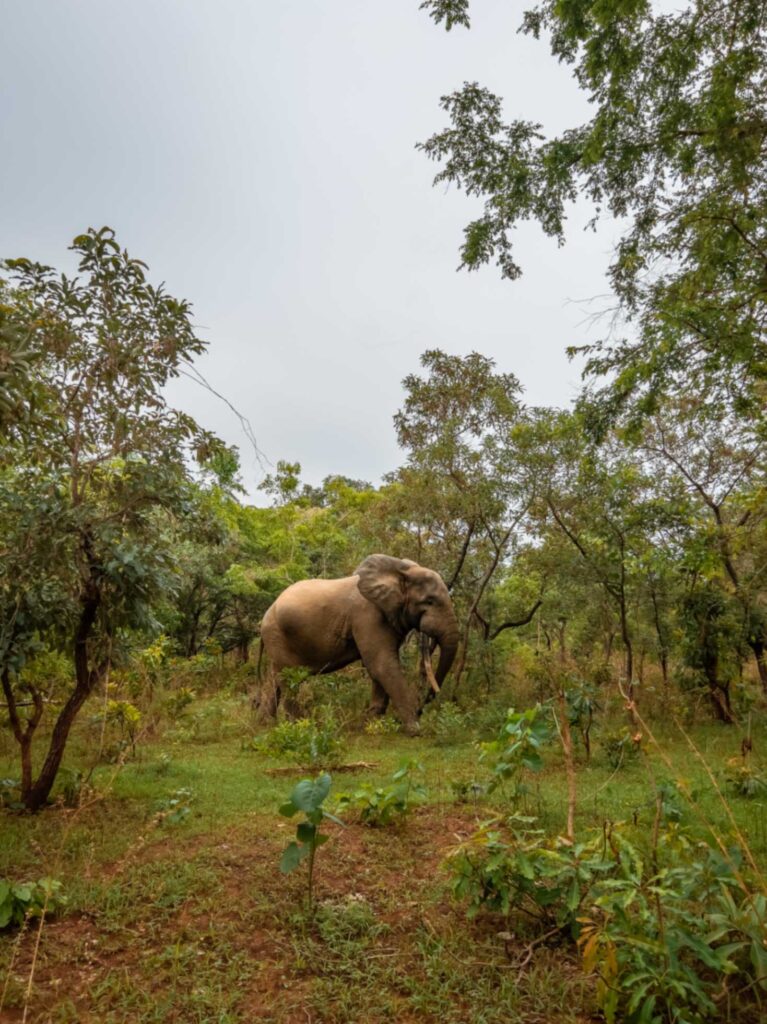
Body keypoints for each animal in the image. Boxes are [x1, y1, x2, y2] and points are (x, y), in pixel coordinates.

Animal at [257, 554, 459, 735]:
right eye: (429, 601)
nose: (421, 708)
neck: (401, 569)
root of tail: (266, 614)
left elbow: (382, 666)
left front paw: (374, 725)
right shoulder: (368, 615)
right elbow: (382, 664)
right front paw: (414, 731)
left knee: (273, 678)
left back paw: (265, 725)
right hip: (277, 635)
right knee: (288, 677)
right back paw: (301, 726)